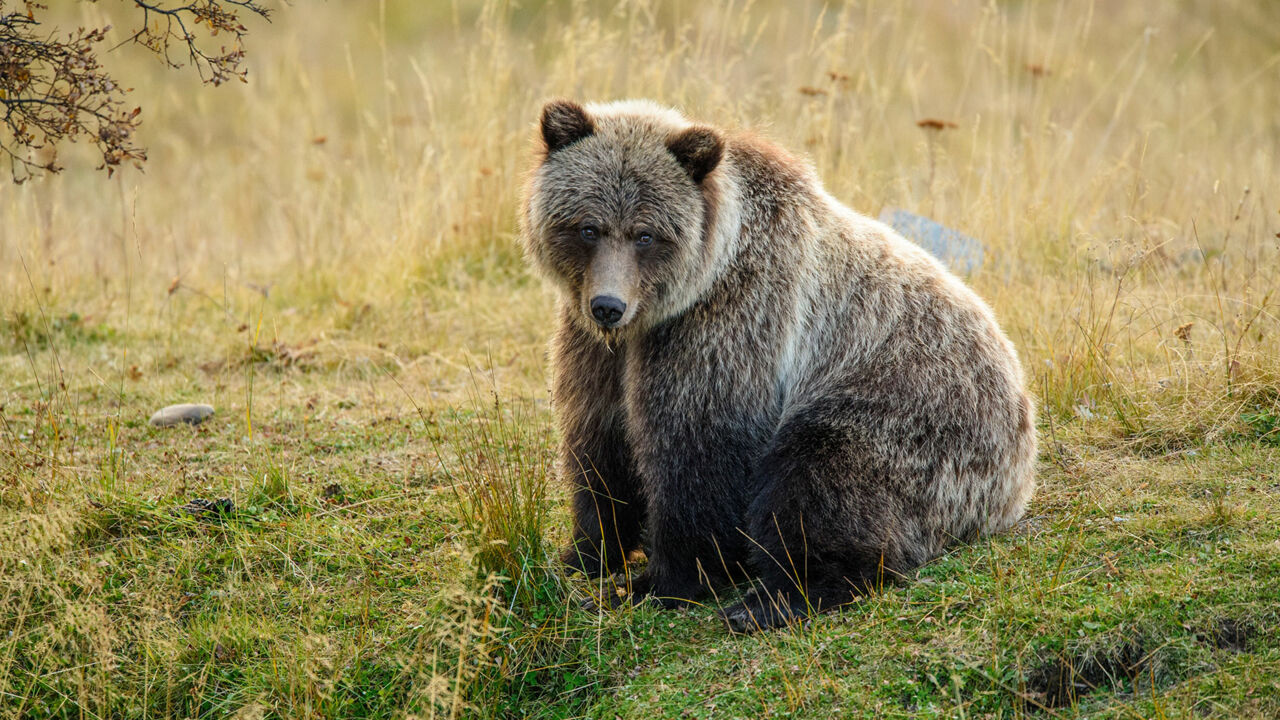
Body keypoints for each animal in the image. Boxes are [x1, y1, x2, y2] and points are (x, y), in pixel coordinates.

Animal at [519, 96, 1039, 627]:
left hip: (917, 415)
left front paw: (656, 582)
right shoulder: (596, 351)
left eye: (646, 234)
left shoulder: (730, 327)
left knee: (820, 479)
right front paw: (583, 557)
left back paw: (769, 601)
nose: (608, 305)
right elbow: (599, 447)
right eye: (588, 227)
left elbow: (698, 454)